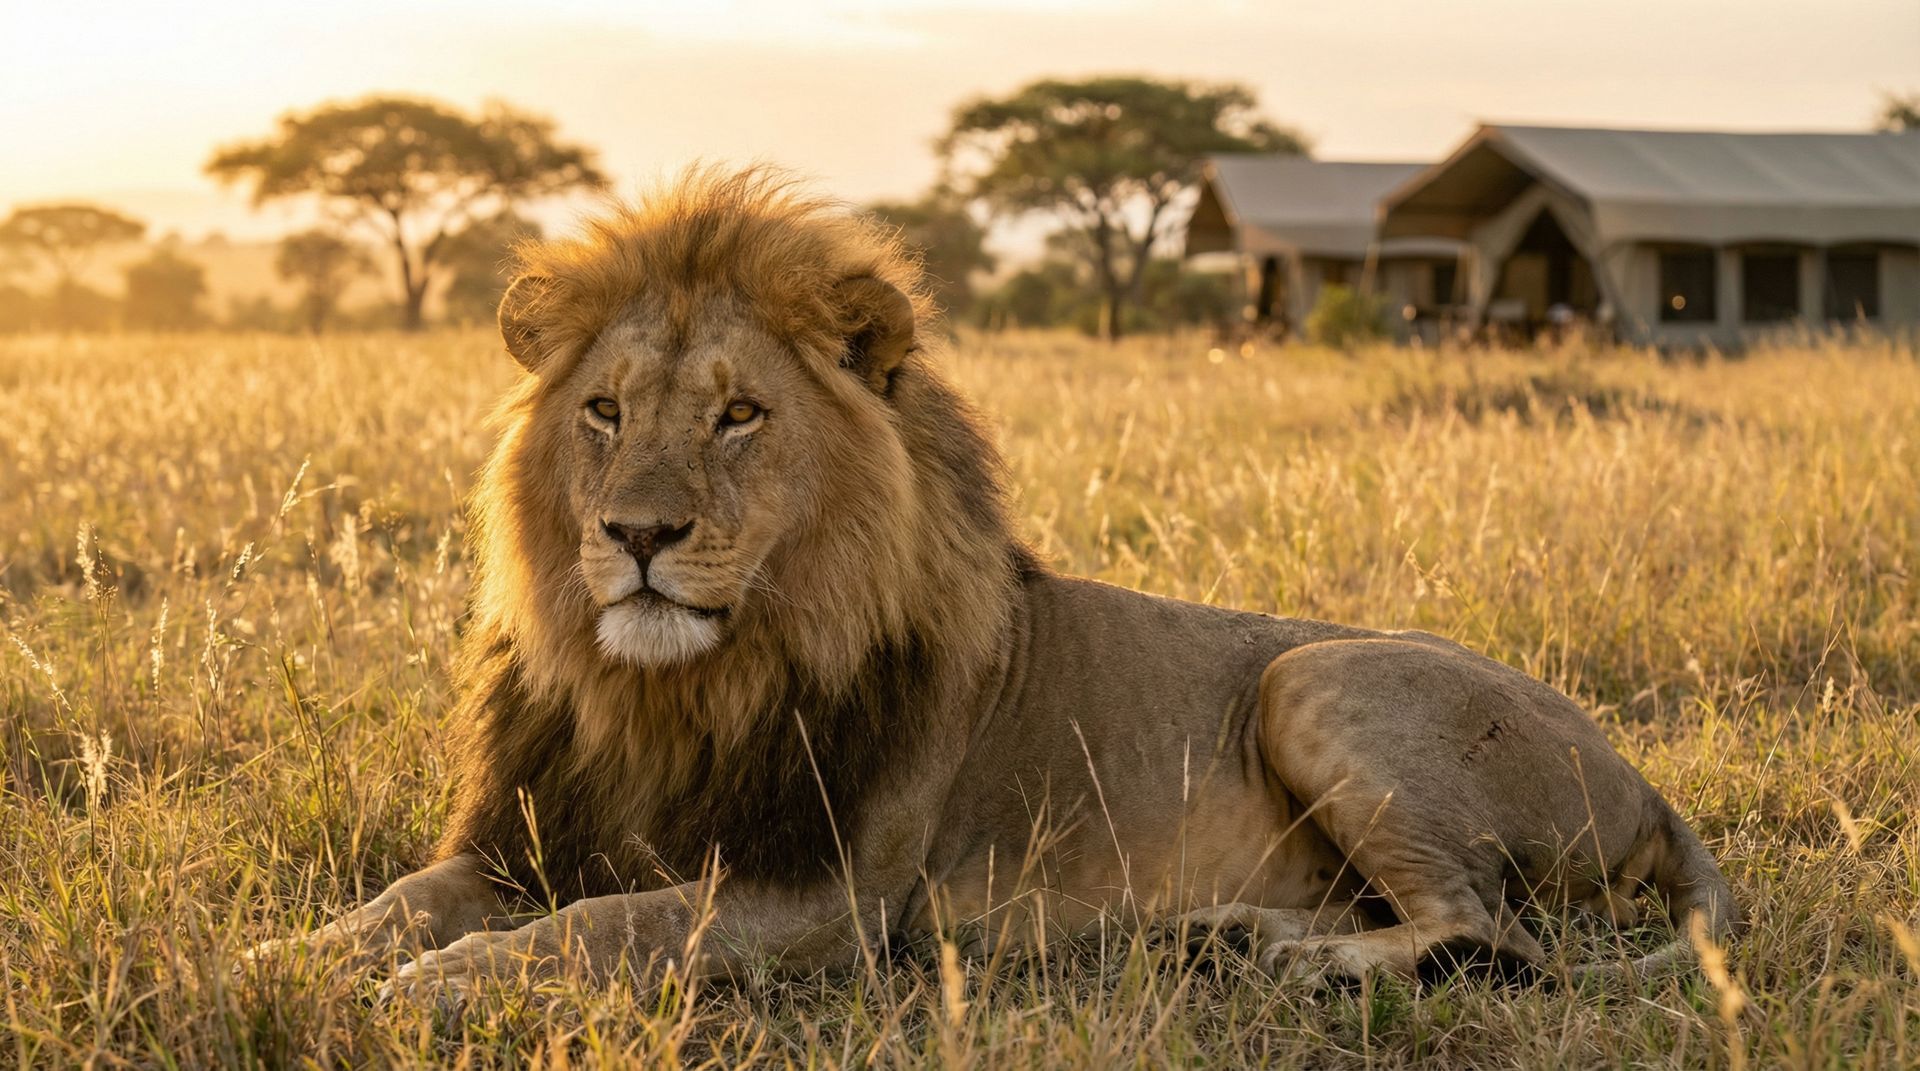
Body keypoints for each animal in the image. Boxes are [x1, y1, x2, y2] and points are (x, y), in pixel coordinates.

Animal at [252, 168, 1739, 1000]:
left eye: (739, 417)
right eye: (604, 410)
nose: (636, 534)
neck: (676, 691)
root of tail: (1644, 776)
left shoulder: (819, 900)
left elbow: (587, 931)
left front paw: (427, 992)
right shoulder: (514, 840)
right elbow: (392, 904)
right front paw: (278, 961)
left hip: (1313, 678)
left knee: (1489, 930)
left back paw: (1316, 962)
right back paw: (1229, 933)